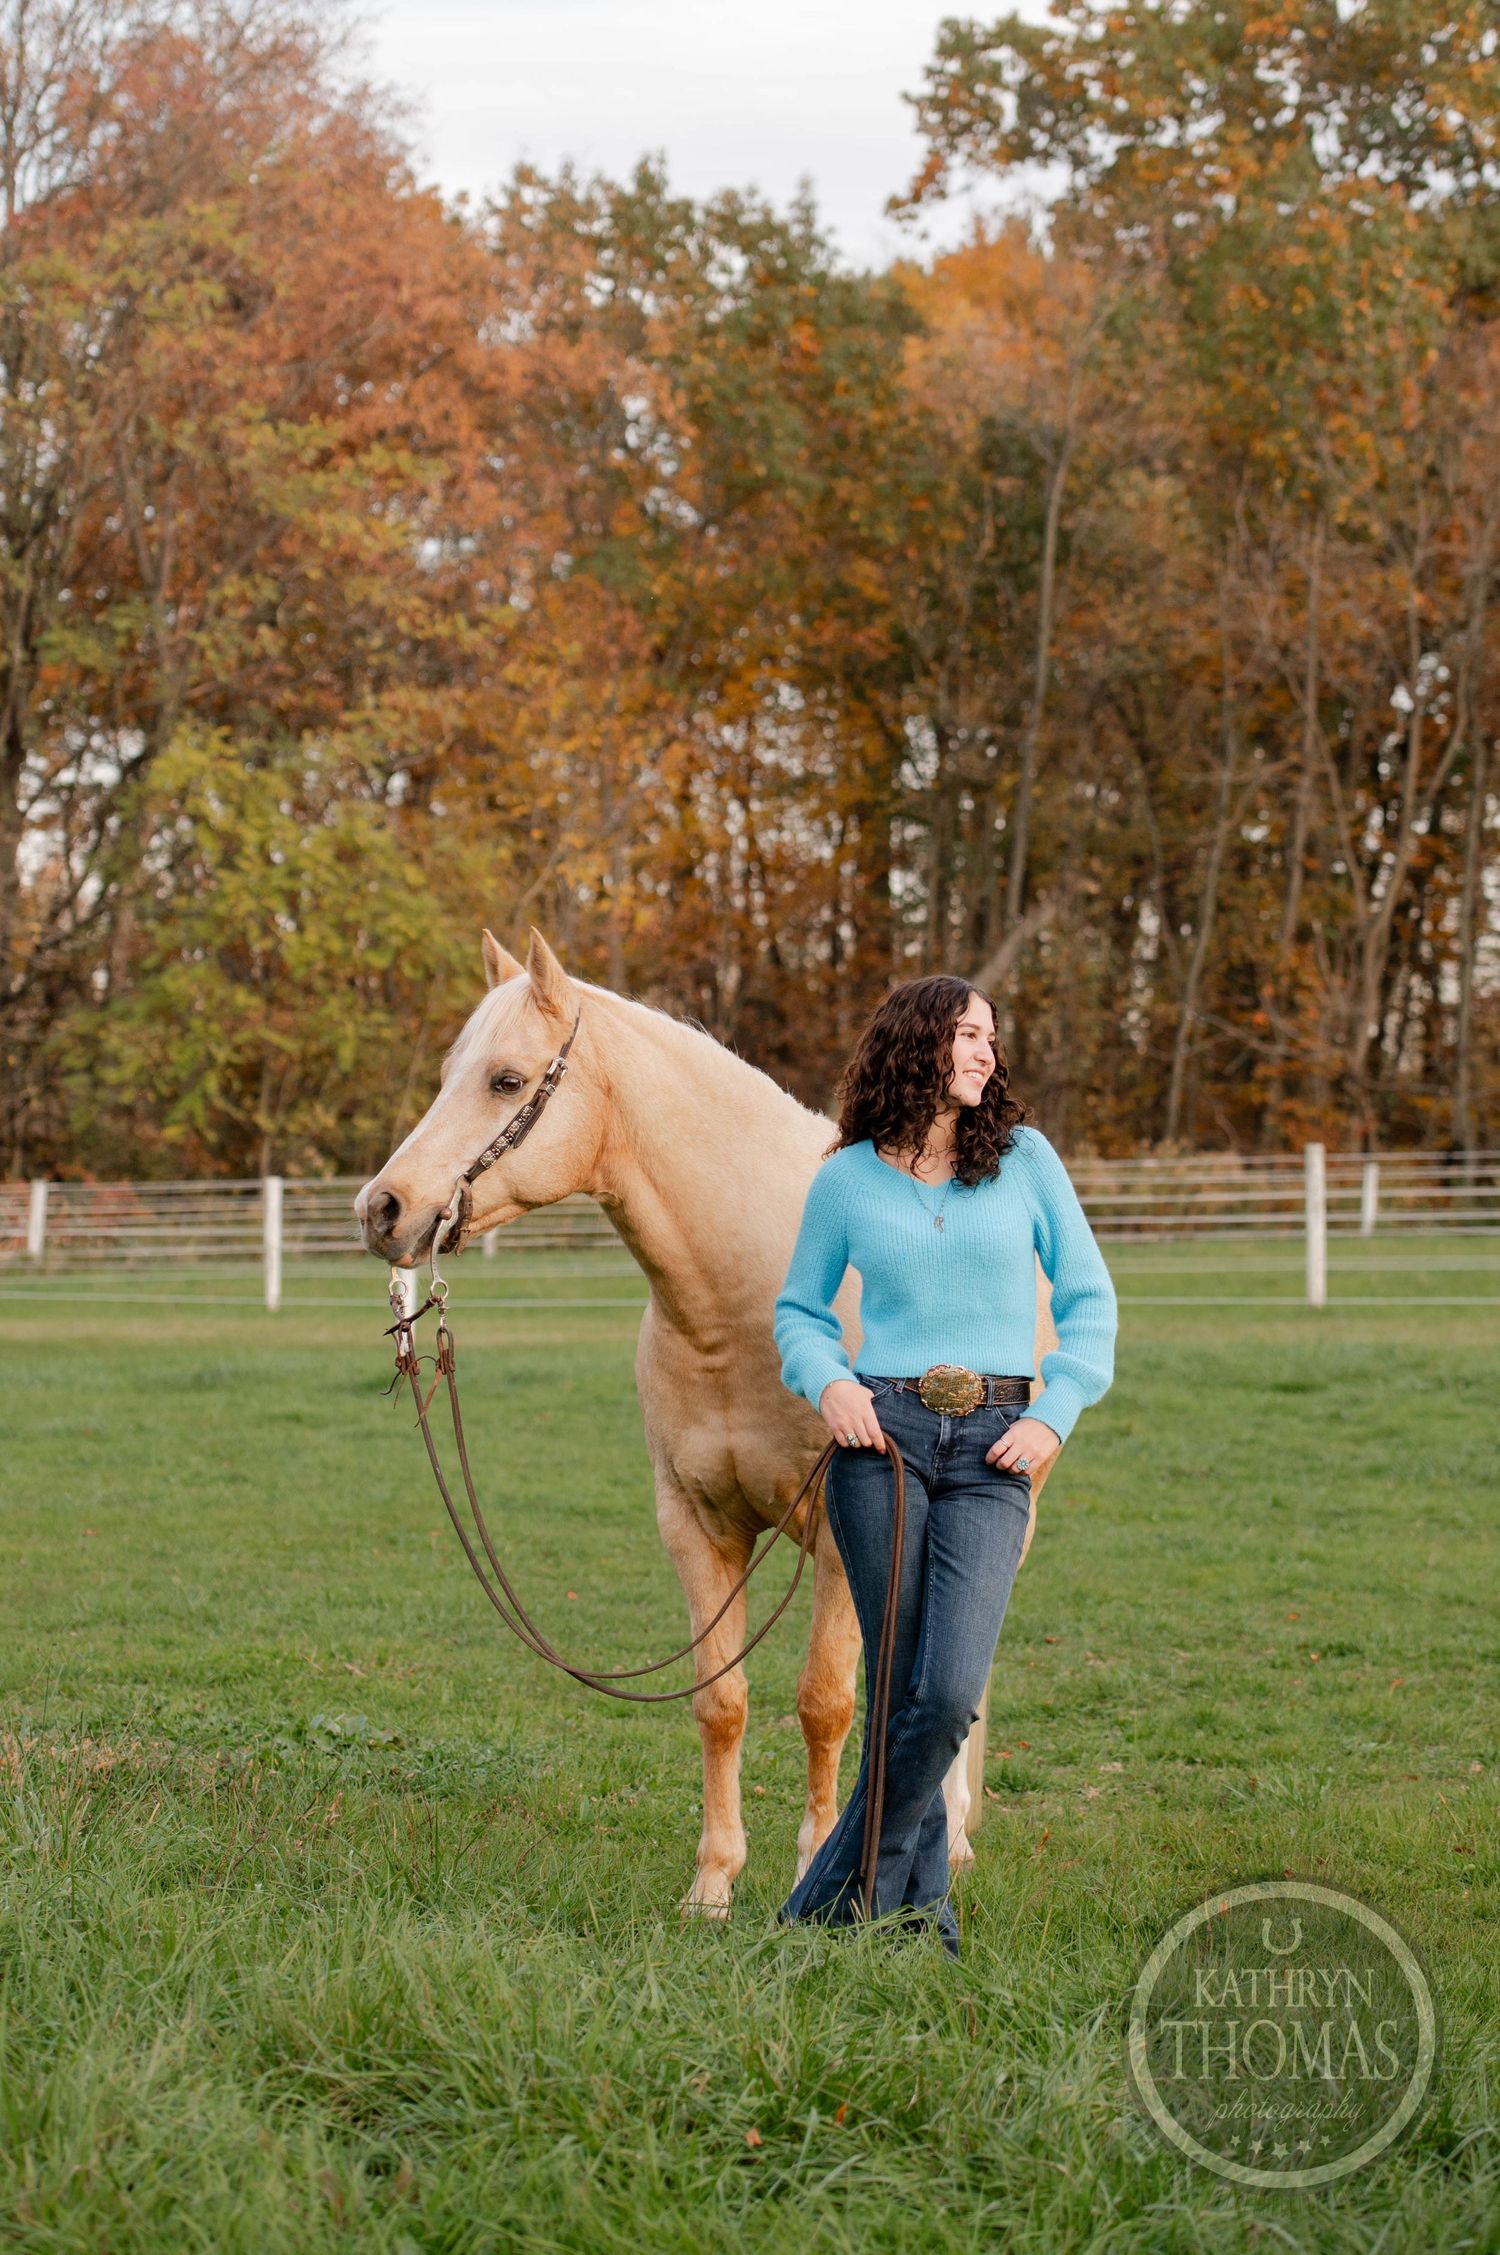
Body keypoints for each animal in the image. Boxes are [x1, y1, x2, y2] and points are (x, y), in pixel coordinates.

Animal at [356, 925, 1054, 1917]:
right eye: (453, 1070)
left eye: (505, 1078)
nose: (382, 1209)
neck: (741, 1301)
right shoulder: (694, 1524)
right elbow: (719, 1702)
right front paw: (713, 1884)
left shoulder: (843, 1534)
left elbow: (826, 1702)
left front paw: (810, 1873)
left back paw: (949, 1836)